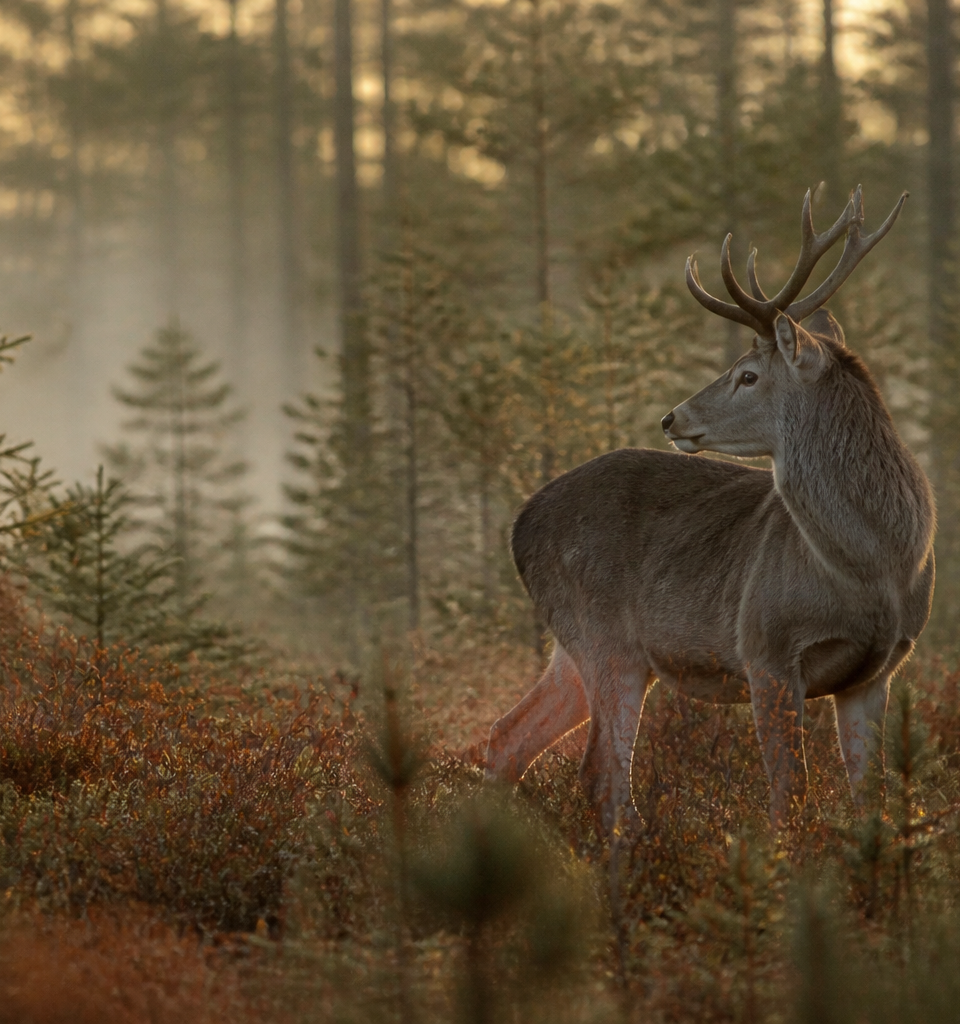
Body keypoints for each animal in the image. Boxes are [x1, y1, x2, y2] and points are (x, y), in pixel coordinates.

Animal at [486, 187, 935, 832]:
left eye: (747, 375)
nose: (672, 417)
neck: (873, 569)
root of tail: (520, 525)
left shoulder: (880, 668)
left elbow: (868, 797)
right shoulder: (765, 647)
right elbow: (789, 793)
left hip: (570, 647)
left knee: (508, 737)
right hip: (604, 635)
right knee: (599, 772)